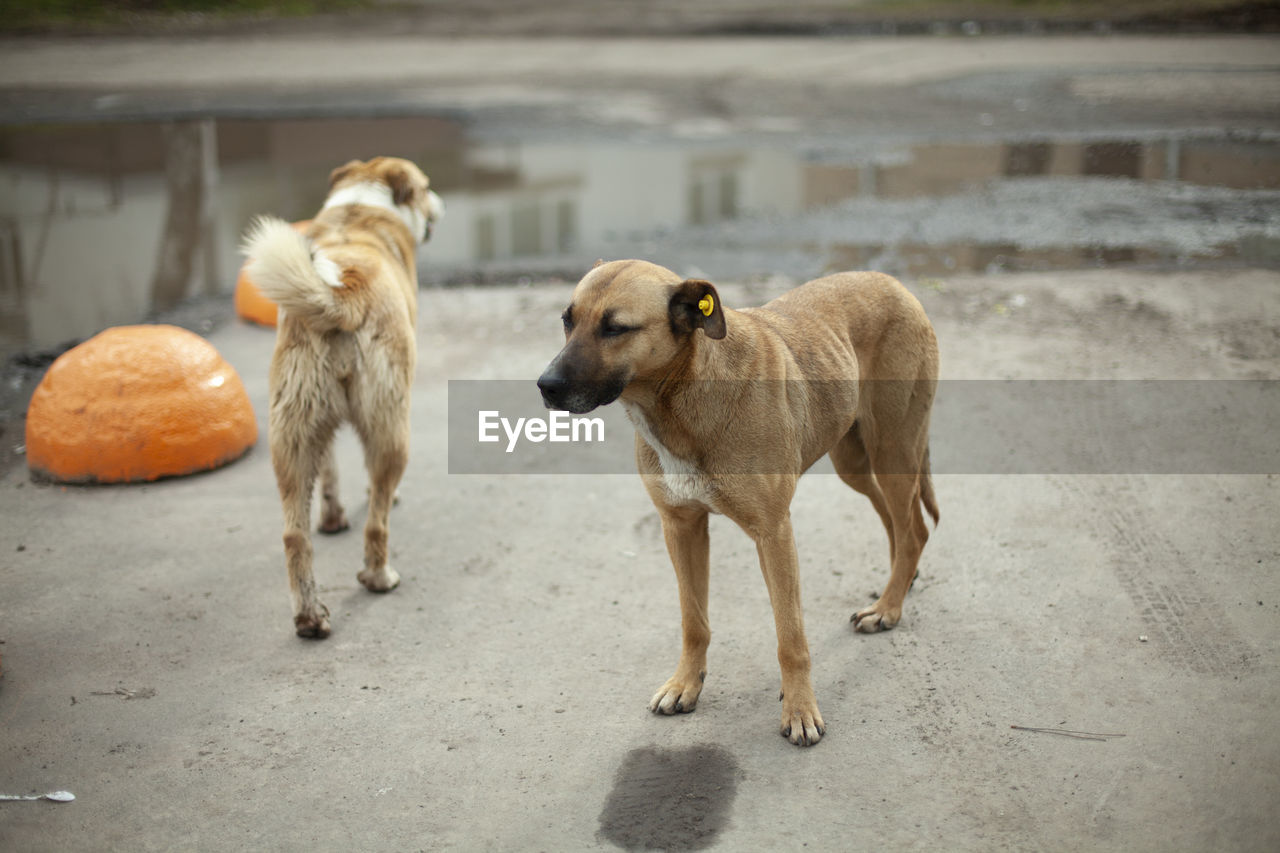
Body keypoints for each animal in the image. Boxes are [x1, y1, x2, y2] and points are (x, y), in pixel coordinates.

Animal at [243, 156, 445, 637]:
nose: (441, 203)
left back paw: (309, 617)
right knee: (377, 523)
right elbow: (373, 488)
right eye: (425, 186)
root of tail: (345, 294)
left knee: (294, 534)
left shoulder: (320, 427)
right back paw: (378, 576)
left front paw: (333, 517)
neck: (360, 209)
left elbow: (331, 469)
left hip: (291, 431)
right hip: (393, 426)